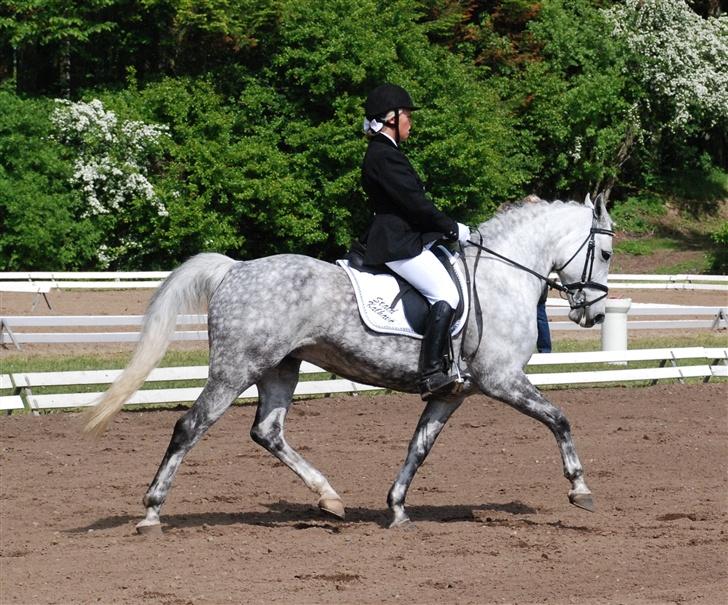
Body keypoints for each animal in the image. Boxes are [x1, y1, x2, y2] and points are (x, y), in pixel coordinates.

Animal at [85, 192, 616, 528]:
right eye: (608, 252)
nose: (594, 313)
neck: (501, 276)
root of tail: (235, 269)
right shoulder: (501, 378)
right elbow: (559, 419)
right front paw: (580, 489)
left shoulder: (453, 392)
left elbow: (418, 447)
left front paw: (397, 509)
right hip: (237, 368)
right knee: (190, 427)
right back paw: (152, 512)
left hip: (281, 367)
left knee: (267, 431)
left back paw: (329, 498)